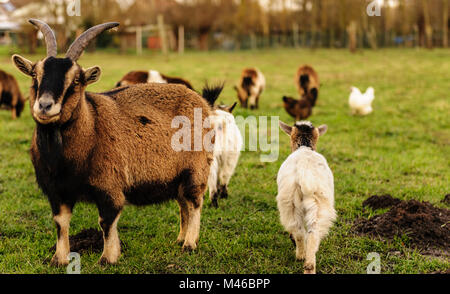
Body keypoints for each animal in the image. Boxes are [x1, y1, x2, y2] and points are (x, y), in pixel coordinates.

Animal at [12, 19, 213, 266]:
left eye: (76, 80)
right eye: (35, 76)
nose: (45, 106)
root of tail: (200, 100)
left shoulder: (109, 186)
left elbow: (106, 222)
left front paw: (108, 257)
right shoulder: (56, 190)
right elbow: (61, 223)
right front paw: (59, 259)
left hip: (196, 168)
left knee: (194, 202)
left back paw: (190, 244)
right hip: (176, 177)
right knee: (183, 203)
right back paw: (180, 238)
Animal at [276, 120, 336, 274]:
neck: (304, 147)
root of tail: (304, 171)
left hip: (290, 201)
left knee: (300, 231)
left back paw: (302, 257)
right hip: (314, 202)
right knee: (310, 233)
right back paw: (306, 261)